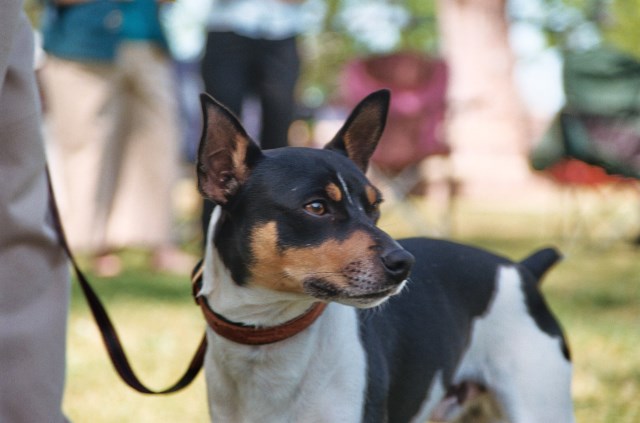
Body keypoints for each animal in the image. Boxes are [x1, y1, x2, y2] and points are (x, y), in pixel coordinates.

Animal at [194, 90, 576, 423]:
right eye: (316, 207)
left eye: (374, 206)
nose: (404, 263)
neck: (267, 335)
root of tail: (523, 269)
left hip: (540, 407)